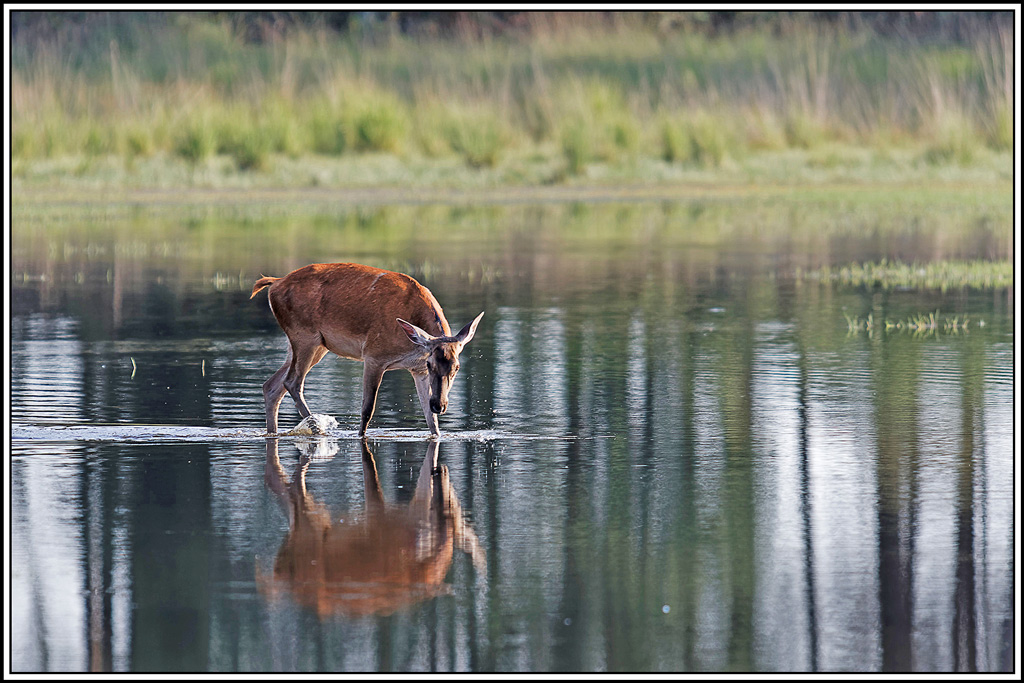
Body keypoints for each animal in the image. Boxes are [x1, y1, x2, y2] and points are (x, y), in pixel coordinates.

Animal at [251, 263, 484, 436]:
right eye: (430, 363)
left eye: (457, 367)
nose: (440, 405)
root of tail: (274, 283)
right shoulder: (374, 354)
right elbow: (367, 410)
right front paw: (360, 435)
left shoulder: (416, 369)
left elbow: (431, 420)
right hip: (304, 336)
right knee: (292, 382)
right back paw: (317, 427)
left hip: (313, 345)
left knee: (271, 386)